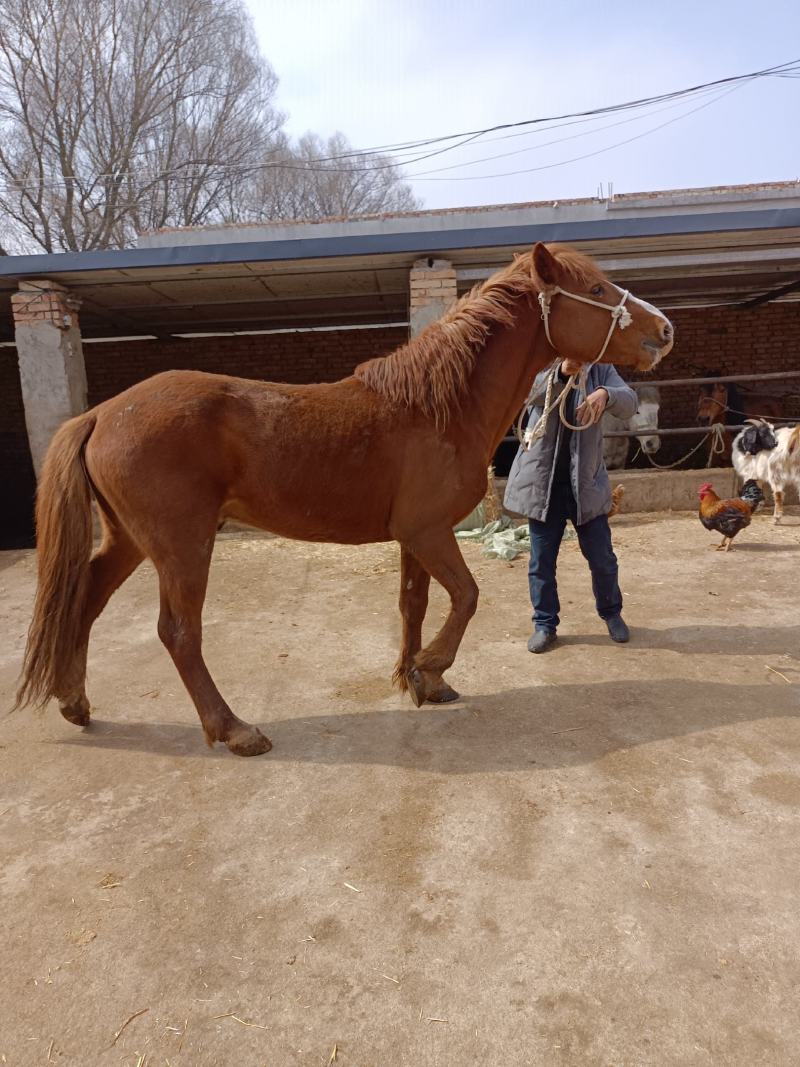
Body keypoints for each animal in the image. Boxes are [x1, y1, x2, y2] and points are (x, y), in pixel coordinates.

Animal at [15, 242, 674, 757]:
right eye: (595, 288)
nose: (663, 330)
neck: (438, 408)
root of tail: (101, 413)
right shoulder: (431, 533)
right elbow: (466, 597)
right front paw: (430, 667)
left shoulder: (415, 536)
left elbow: (413, 605)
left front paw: (417, 679)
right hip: (181, 546)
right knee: (178, 633)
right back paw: (233, 729)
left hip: (129, 539)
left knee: (84, 602)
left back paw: (75, 702)